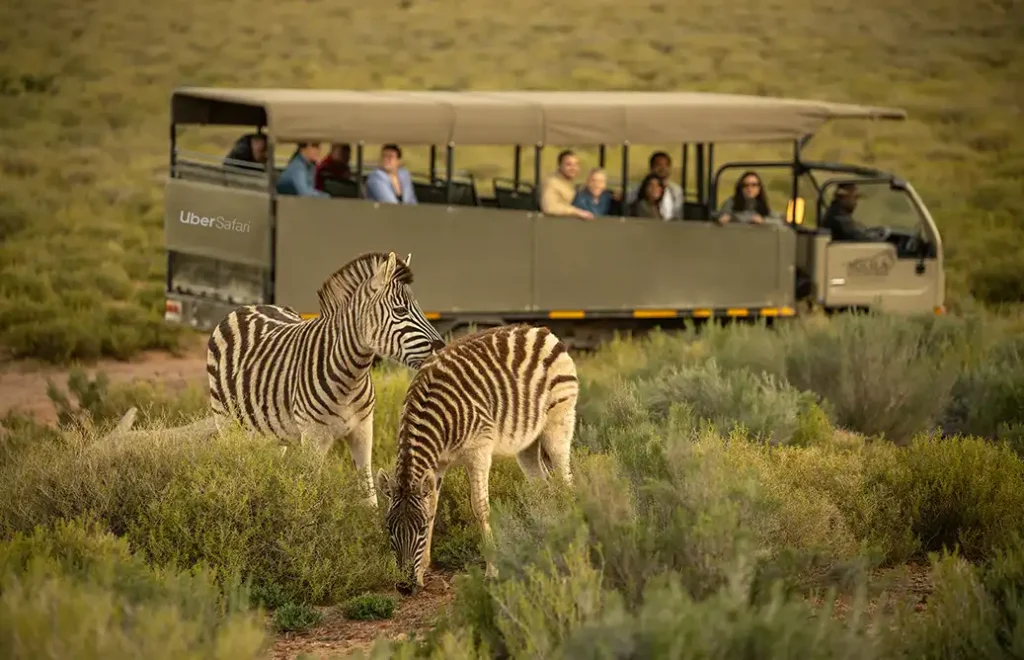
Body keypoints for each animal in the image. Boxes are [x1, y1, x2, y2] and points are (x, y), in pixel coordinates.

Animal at [206, 249, 444, 507]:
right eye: (400, 311)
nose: (442, 348)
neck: (351, 377)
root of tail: (245, 307)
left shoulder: (363, 430)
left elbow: (368, 493)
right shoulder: (313, 438)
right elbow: (311, 494)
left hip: (271, 431)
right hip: (226, 421)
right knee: (236, 464)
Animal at [374, 323, 577, 593]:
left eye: (420, 529)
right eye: (389, 528)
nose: (405, 587)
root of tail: (540, 329)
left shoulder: (478, 450)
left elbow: (480, 507)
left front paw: (492, 571)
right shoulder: (438, 463)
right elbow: (432, 506)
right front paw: (424, 567)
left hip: (559, 419)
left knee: (565, 481)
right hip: (528, 443)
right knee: (542, 486)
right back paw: (547, 533)